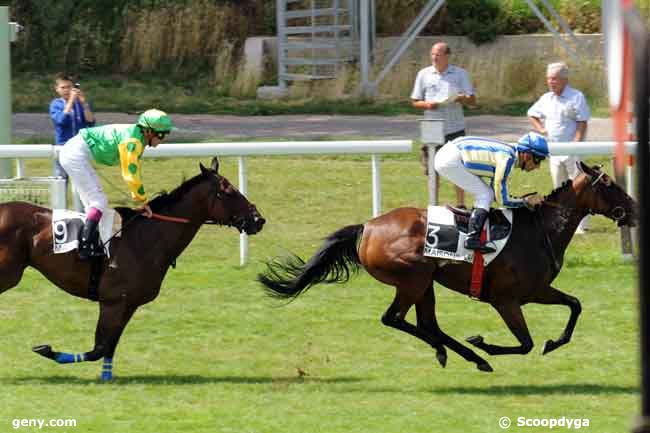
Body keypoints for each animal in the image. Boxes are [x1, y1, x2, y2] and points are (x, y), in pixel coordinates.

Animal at [0, 157, 264, 380]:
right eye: (228, 191)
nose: (258, 219)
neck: (148, 237)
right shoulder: (113, 301)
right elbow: (99, 348)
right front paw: (47, 350)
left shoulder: (129, 303)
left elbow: (109, 345)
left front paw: (107, 377)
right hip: (9, 275)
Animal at [258, 162, 632, 372]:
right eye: (611, 185)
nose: (634, 209)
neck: (539, 230)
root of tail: (367, 227)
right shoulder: (506, 300)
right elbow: (525, 343)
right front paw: (485, 343)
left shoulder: (537, 291)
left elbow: (575, 305)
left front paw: (554, 342)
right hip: (414, 277)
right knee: (395, 319)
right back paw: (470, 354)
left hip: (426, 283)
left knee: (427, 324)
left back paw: (456, 354)